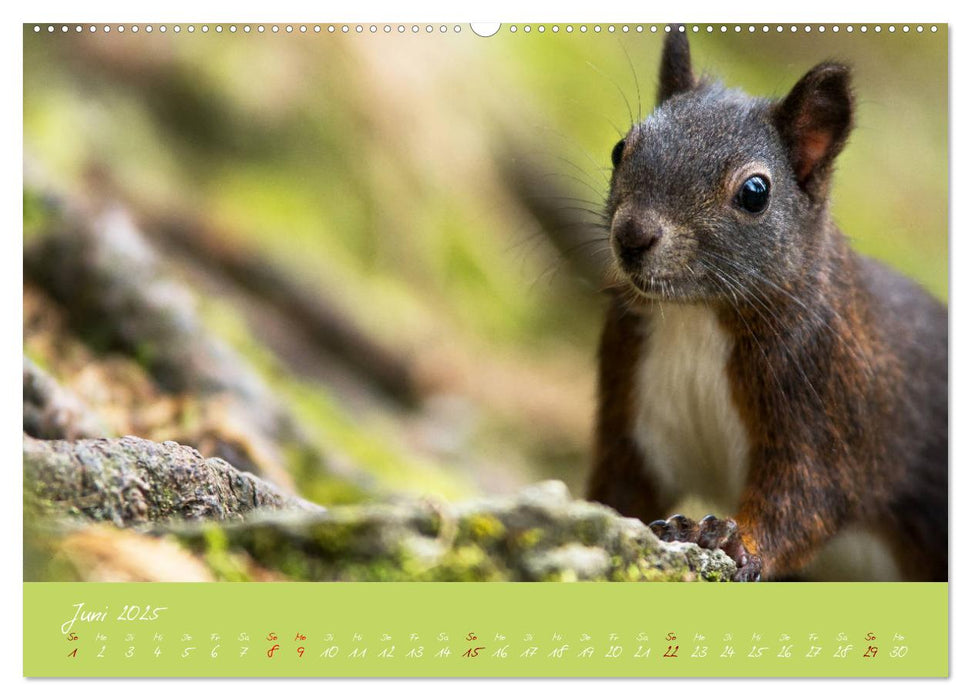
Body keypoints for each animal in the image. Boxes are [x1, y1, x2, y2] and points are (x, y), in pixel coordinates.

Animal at [588, 30, 944, 584]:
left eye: (755, 192)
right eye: (620, 148)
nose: (632, 236)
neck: (697, 317)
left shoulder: (830, 406)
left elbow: (805, 500)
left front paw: (729, 539)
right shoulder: (632, 398)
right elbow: (621, 488)